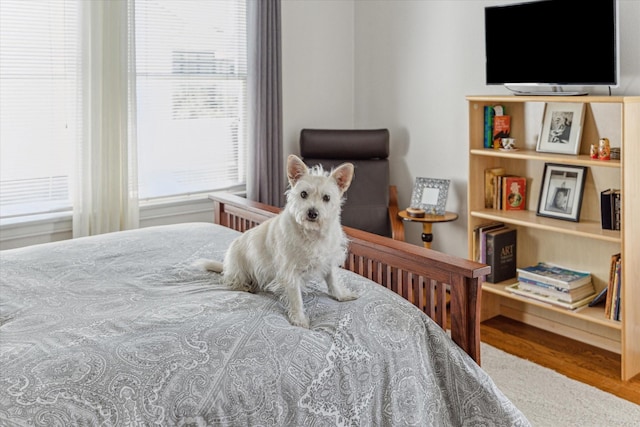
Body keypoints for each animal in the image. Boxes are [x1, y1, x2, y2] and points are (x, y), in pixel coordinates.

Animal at [199, 155, 358, 330]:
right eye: (303, 194)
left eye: (327, 198)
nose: (312, 212)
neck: (311, 233)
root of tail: (227, 266)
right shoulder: (290, 272)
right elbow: (296, 298)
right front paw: (299, 320)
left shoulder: (329, 260)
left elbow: (333, 280)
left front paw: (341, 295)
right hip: (238, 268)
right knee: (232, 280)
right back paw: (246, 286)